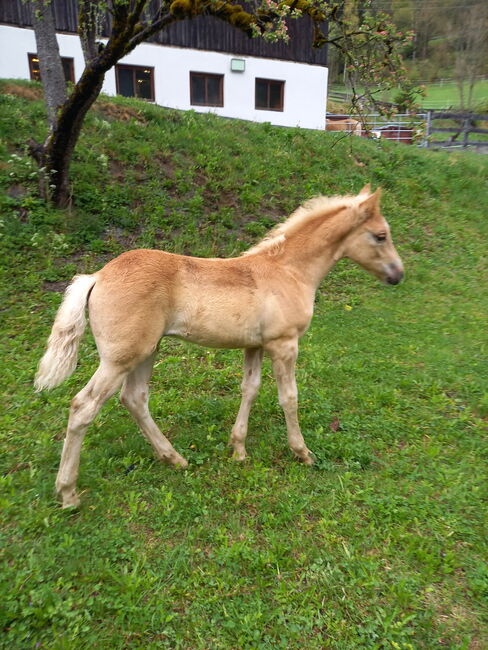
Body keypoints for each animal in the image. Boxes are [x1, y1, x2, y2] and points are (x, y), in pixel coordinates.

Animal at [36, 186, 404, 506]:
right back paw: (68, 492)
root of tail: (97, 276)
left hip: (146, 352)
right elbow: (289, 397)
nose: (398, 276)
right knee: (84, 406)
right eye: (380, 235)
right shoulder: (284, 344)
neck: (288, 270)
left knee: (134, 398)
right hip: (119, 359)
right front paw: (303, 452)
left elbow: (250, 389)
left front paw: (238, 449)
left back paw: (175, 458)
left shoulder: (254, 345)